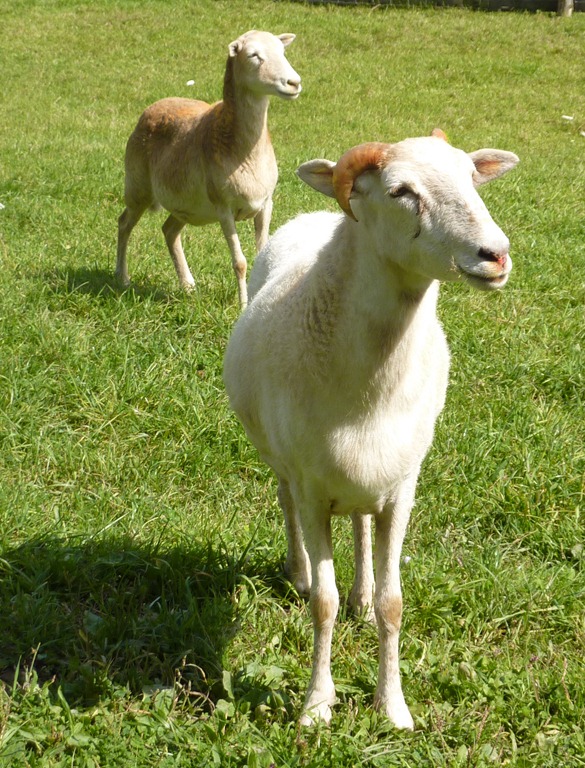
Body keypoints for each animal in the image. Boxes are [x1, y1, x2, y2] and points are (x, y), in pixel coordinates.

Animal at [116, 30, 301, 308]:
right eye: (253, 55)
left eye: (282, 51)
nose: (294, 82)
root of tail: (154, 105)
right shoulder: (224, 207)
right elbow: (240, 262)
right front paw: (243, 305)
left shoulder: (266, 202)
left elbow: (263, 255)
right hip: (138, 187)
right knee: (124, 223)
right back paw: (122, 278)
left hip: (186, 205)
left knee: (169, 231)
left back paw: (188, 285)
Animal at [223, 130, 519, 728]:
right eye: (401, 191)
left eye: (470, 177)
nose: (495, 254)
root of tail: (313, 214)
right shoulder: (314, 490)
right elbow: (323, 604)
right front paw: (316, 706)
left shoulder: (402, 488)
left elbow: (393, 603)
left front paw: (393, 706)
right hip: (284, 464)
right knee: (286, 506)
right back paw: (298, 571)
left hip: (369, 477)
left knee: (359, 526)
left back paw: (359, 590)